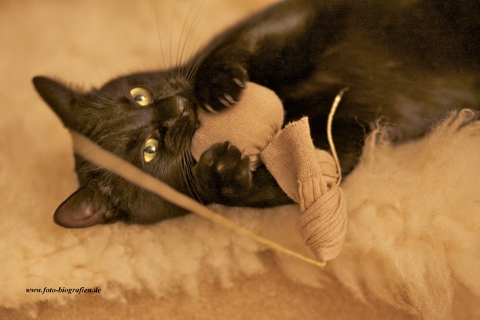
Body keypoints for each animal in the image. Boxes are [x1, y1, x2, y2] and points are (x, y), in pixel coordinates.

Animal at [31, 0, 478, 228]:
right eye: (149, 151)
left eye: (138, 96)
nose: (176, 106)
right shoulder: (345, 135)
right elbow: (293, 182)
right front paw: (223, 172)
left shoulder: (292, 15)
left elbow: (255, 42)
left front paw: (218, 84)